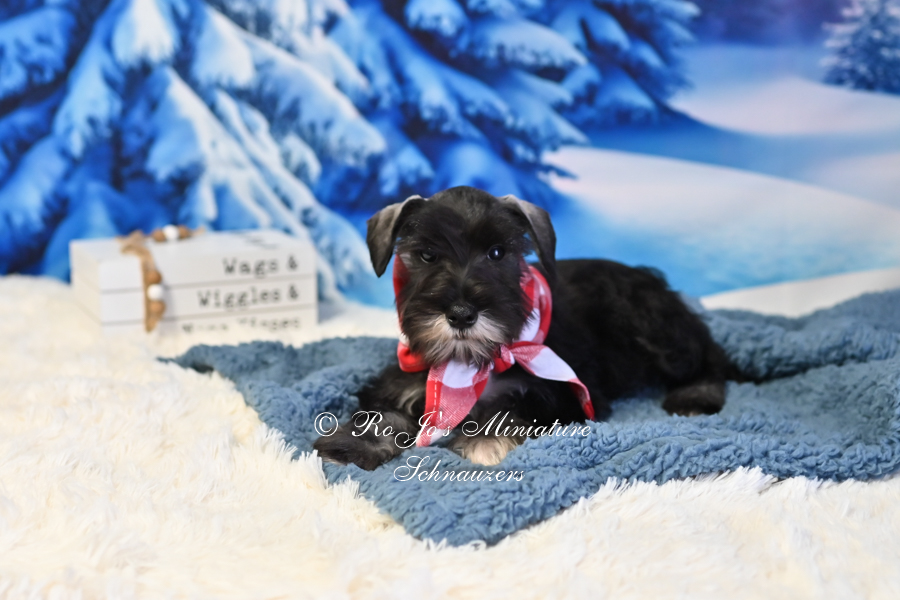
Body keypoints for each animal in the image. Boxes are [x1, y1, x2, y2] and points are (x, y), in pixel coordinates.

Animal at [313, 186, 730, 470]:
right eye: (427, 255)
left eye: (498, 253)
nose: (461, 314)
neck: (470, 365)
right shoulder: (404, 376)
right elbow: (384, 413)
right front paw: (354, 444)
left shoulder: (565, 395)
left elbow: (513, 407)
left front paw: (485, 442)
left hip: (655, 327)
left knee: (709, 356)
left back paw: (696, 396)